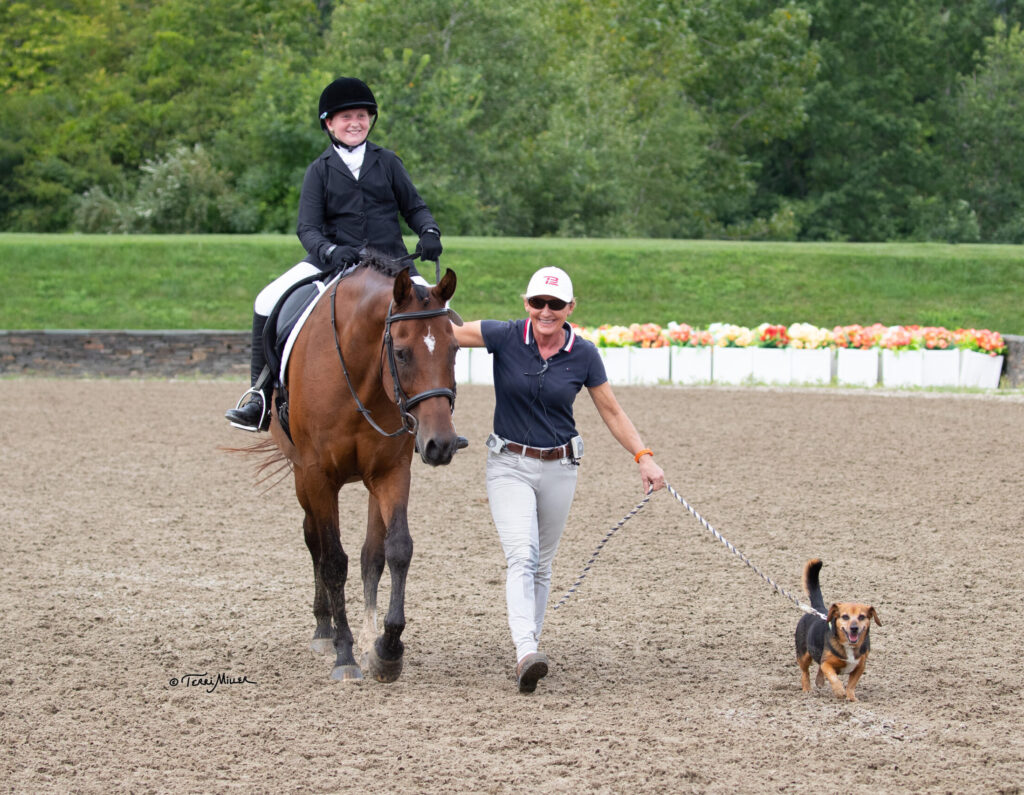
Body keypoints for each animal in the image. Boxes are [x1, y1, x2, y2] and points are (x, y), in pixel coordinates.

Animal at [268, 256, 460, 684]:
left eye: (455, 349)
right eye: (401, 353)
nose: (440, 445)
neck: (360, 376)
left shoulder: (392, 472)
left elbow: (397, 549)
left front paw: (387, 649)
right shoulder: (317, 476)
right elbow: (332, 560)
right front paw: (345, 654)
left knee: (371, 554)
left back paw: (369, 634)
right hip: (302, 479)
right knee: (315, 543)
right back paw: (324, 631)